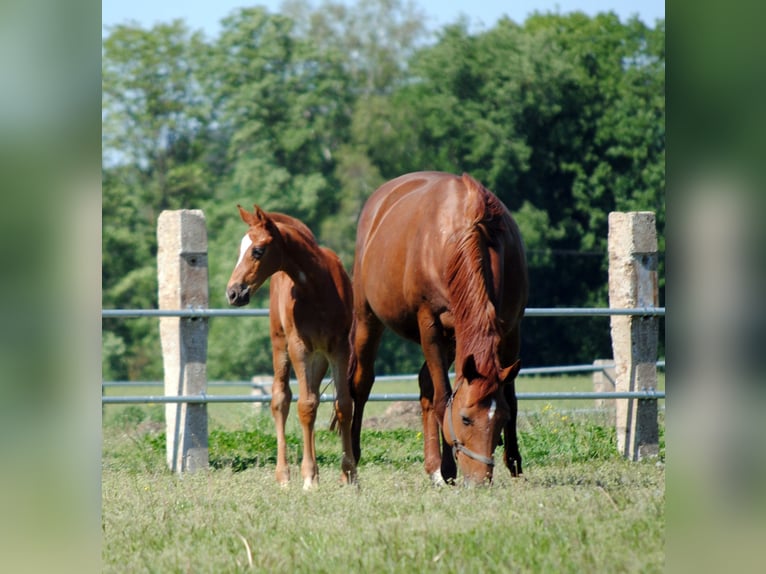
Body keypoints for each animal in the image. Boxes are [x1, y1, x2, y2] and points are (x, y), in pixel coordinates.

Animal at [226, 206, 358, 490]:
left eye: (257, 250)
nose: (233, 293)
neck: (319, 288)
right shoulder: (300, 348)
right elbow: (304, 406)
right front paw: (308, 477)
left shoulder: (339, 349)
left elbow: (343, 405)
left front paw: (351, 474)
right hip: (281, 345)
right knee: (281, 399)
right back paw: (284, 474)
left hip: (319, 358)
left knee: (315, 397)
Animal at [352, 171, 532, 486]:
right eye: (465, 418)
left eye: (500, 419)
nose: (479, 480)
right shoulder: (431, 326)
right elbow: (442, 399)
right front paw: (449, 469)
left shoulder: (510, 328)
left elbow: (507, 396)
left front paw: (513, 461)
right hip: (368, 318)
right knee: (361, 385)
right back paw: (350, 461)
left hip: (454, 339)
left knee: (425, 382)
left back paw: (432, 465)